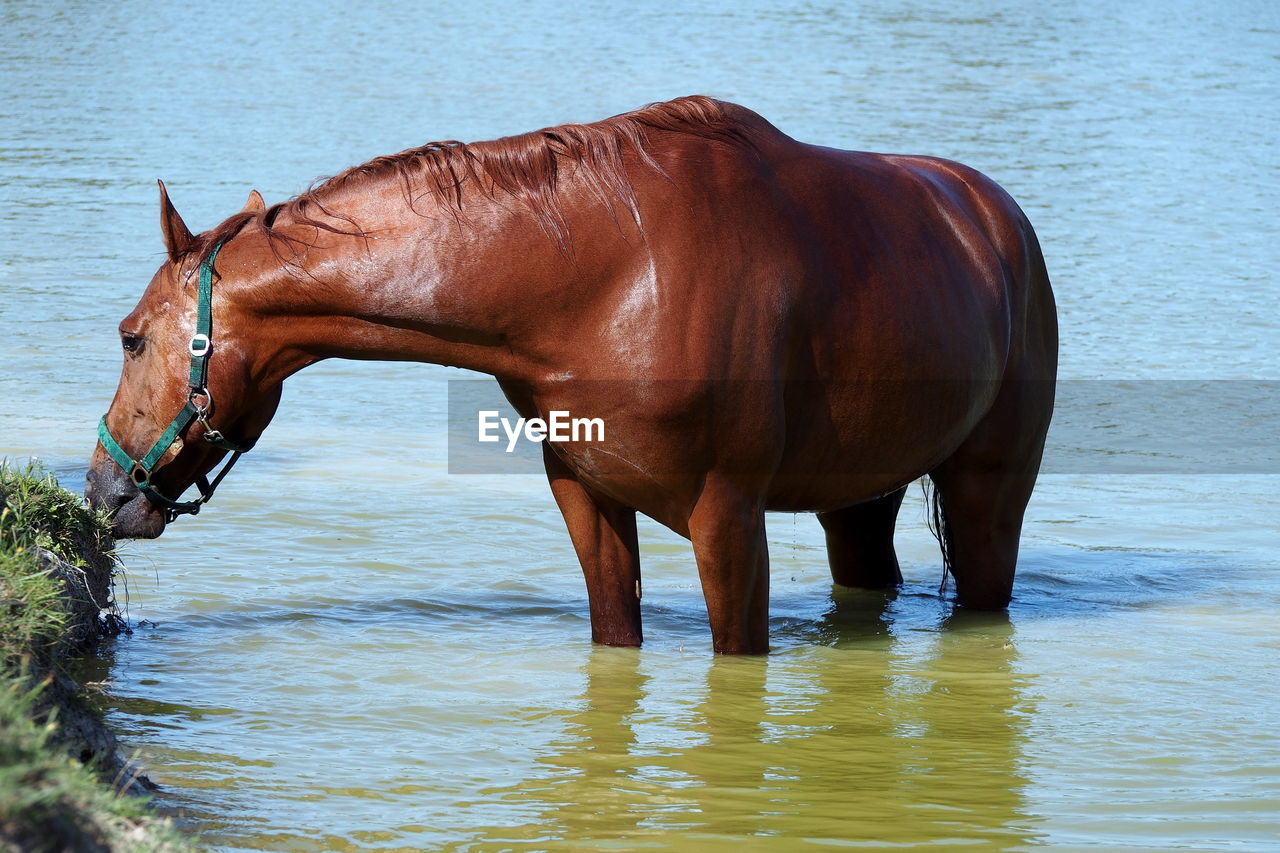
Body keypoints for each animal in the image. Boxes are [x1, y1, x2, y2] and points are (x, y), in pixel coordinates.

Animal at [85, 96, 1054, 650]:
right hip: (856, 502)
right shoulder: (588, 501)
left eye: (131, 338)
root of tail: (999, 221)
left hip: (987, 498)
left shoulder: (728, 521)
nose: (102, 489)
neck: (609, 274)